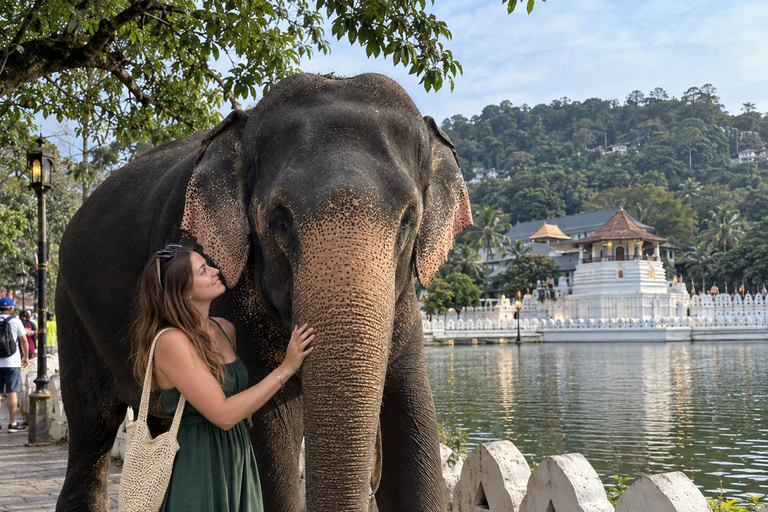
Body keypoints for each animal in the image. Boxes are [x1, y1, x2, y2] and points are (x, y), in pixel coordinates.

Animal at [55, 72, 472, 512]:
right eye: (280, 220)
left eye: (409, 219)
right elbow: (270, 433)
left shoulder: (404, 305)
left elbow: (414, 422)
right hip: (70, 313)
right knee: (91, 430)